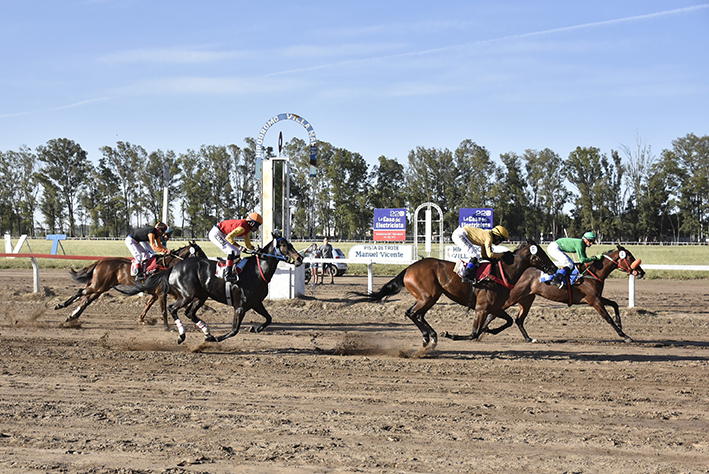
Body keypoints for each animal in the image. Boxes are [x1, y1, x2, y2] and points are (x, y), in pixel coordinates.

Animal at [55, 241, 205, 330]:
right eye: (199, 252)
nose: (205, 261)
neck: (166, 265)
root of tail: (100, 261)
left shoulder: (157, 293)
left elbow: (148, 306)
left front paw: (141, 320)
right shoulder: (161, 292)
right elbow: (164, 310)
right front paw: (168, 327)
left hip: (102, 287)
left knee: (86, 300)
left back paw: (72, 316)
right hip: (98, 285)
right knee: (81, 291)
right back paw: (61, 306)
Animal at [115, 233, 302, 344]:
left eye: (290, 243)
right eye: (283, 244)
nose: (300, 258)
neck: (256, 271)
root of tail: (173, 268)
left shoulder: (256, 303)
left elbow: (269, 319)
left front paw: (254, 328)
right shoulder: (240, 307)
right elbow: (234, 330)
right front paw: (218, 338)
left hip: (200, 296)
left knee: (189, 313)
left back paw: (207, 332)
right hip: (187, 295)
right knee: (172, 308)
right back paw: (182, 335)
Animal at [348, 241, 560, 348]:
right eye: (541, 254)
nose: (554, 268)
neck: (501, 273)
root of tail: (409, 268)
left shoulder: (495, 307)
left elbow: (506, 322)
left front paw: (489, 330)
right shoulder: (481, 308)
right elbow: (473, 334)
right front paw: (451, 334)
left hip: (429, 296)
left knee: (416, 314)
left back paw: (429, 336)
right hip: (429, 296)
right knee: (413, 313)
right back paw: (431, 336)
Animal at [500, 246, 644, 342]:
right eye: (630, 258)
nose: (641, 272)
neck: (592, 273)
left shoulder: (596, 297)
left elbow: (614, 304)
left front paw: (620, 324)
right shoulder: (594, 300)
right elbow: (608, 318)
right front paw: (625, 336)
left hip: (527, 299)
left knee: (519, 320)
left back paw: (528, 338)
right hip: (513, 297)